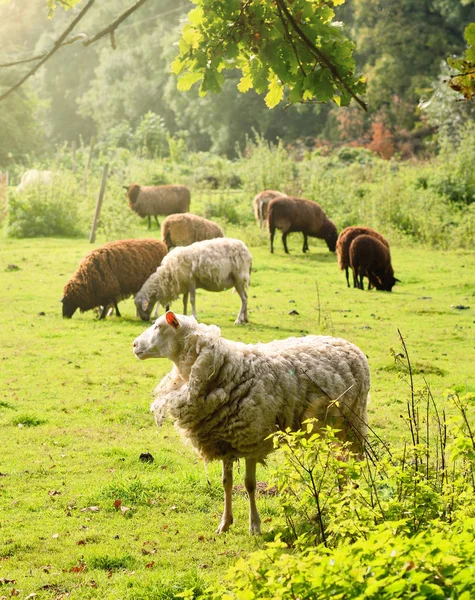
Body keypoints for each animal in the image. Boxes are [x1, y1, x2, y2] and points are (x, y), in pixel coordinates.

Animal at [132, 312, 370, 532]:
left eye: (158, 326)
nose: (134, 345)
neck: (226, 367)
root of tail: (350, 345)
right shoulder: (225, 439)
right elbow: (226, 483)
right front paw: (225, 523)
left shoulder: (251, 439)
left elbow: (249, 484)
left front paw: (254, 525)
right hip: (335, 425)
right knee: (340, 461)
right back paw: (342, 498)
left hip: (353, 421)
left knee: (354, 461)